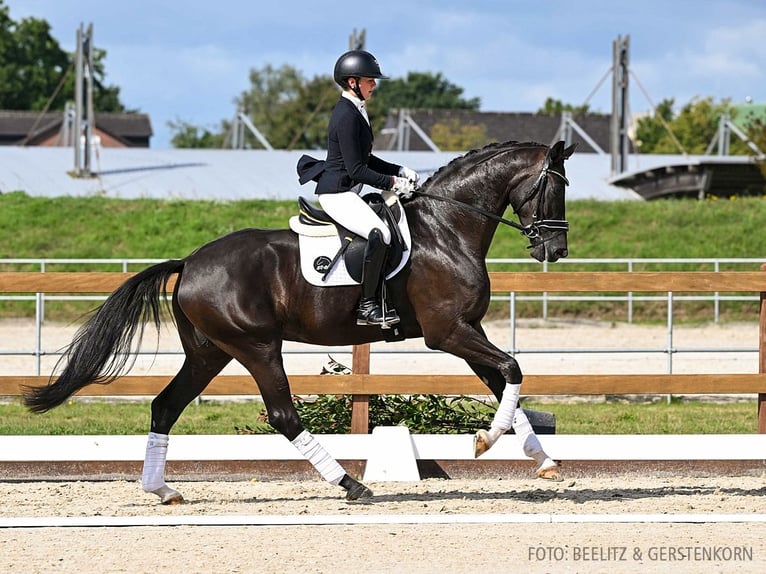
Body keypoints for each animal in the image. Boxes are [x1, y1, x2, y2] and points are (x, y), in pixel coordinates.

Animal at [22, 140, 576, 504]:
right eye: (554, 188)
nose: (556, 250)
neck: (446, 229)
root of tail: (191, 262)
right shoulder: (448, 333)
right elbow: (512, 370)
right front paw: (488, 440)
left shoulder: (469, 329)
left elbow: (506, 379)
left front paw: (541, 459)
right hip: (257, 347)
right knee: (283, 416)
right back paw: (352, 485)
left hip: (209, 352)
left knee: (165, 406)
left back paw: (162, 490)